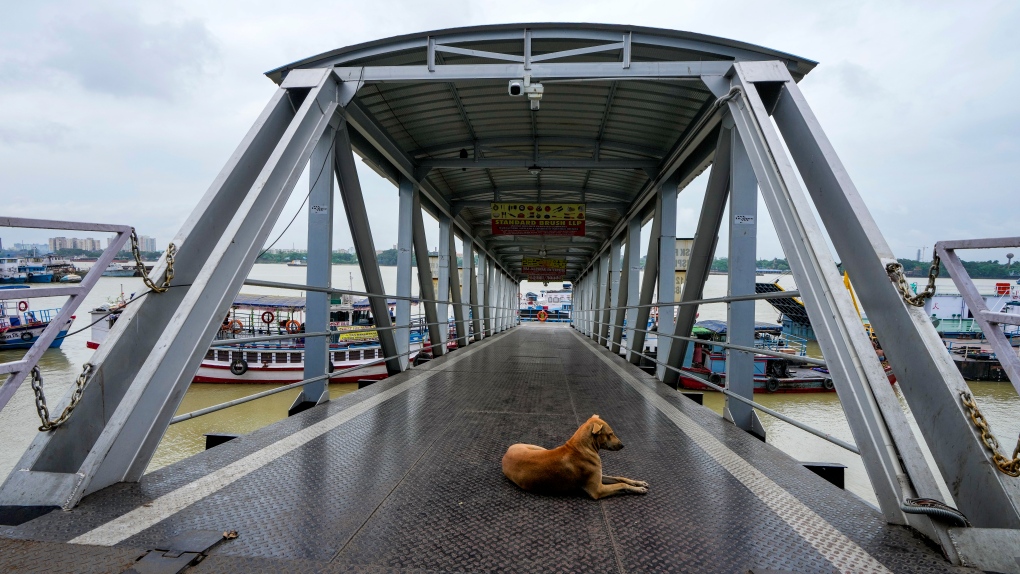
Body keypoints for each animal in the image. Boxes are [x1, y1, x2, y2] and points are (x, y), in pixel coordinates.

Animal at [499, 415, 648, 501]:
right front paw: (638, 489)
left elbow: (620, 478)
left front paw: (639, 483)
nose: (623, 445)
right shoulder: (597, 490)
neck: (581, 448)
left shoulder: (599, 477)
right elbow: (620, 484)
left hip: (539, 448)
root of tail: (505, 454)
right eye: (610, 434)